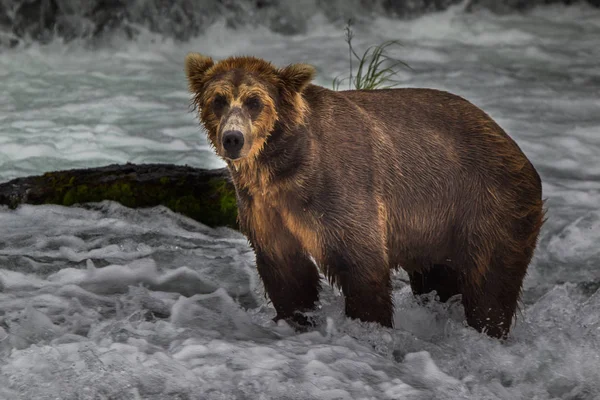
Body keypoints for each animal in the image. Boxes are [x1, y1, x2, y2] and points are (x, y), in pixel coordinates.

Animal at [185, 52, 548, 340]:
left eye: (254, 101)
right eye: (218, 99)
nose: (233, 138)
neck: (282, 171)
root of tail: (516, 149)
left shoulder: (340, 192)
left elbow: (361, 265)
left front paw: (370, 327)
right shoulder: (266, 209)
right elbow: (286, 271)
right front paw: (296, 319)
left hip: (485, 203)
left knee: (489, 283)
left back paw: (488, 329)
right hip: (438, 226)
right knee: (438, 278)